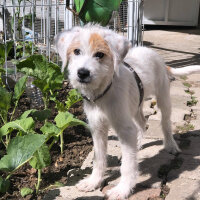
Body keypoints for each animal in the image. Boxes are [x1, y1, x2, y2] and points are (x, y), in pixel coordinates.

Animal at [55, 25, 200, 200]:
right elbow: (99, 159)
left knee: (165, 123)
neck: (103, 93)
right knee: (143, 123)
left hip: (163, 98)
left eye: (100, 54)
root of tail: (155, 55)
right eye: (76, 51)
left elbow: (128, 164)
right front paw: (93, 181)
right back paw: (138, 142)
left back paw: (171, 145)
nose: (82, 73)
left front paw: (122, 189)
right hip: (136, 106)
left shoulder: (124, 129)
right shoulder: (97, 129)